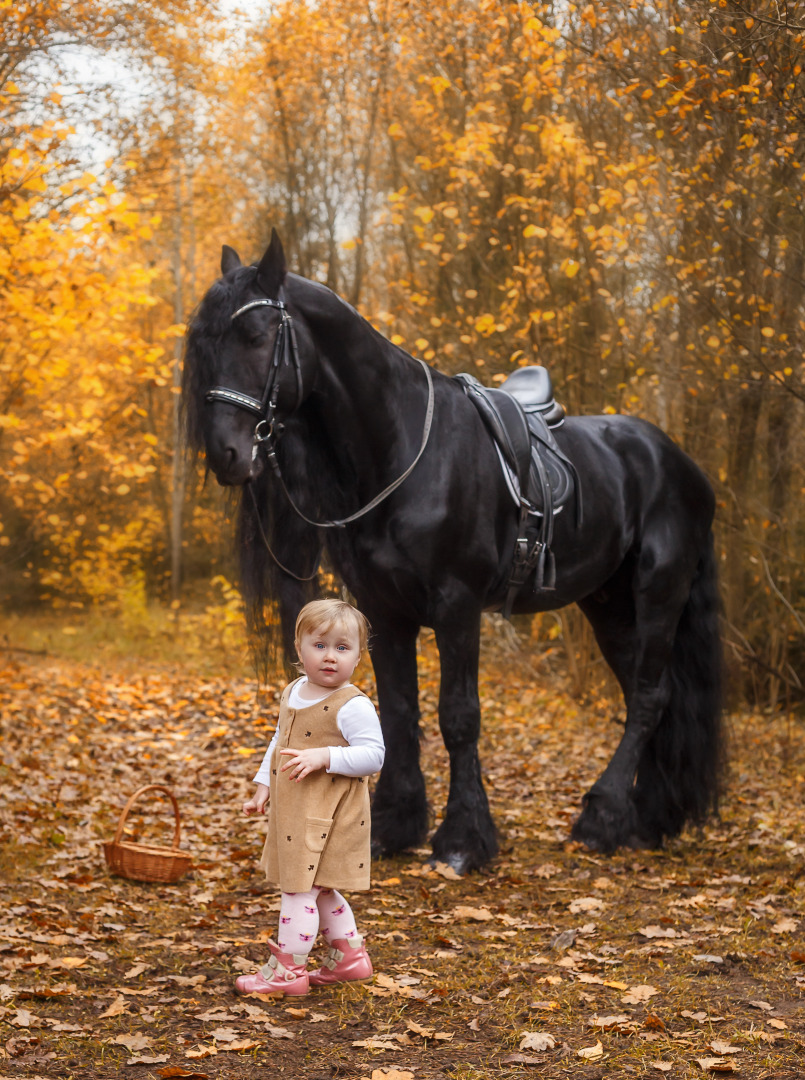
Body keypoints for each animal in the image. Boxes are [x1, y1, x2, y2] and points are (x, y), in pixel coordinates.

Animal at [183, 232, 721, 872]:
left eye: (256, 335)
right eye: (205, 343)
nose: (225, 454)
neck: (400, 450)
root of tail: (681, 463)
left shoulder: (457, 606)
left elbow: (458, 717)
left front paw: (464, 838)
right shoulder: (384, 610)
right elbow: (398, 711)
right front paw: (393, 825)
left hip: (659, 591)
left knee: (647, 696)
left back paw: (604, 817)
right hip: (609, 605)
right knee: (651, 693)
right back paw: (648, 817)